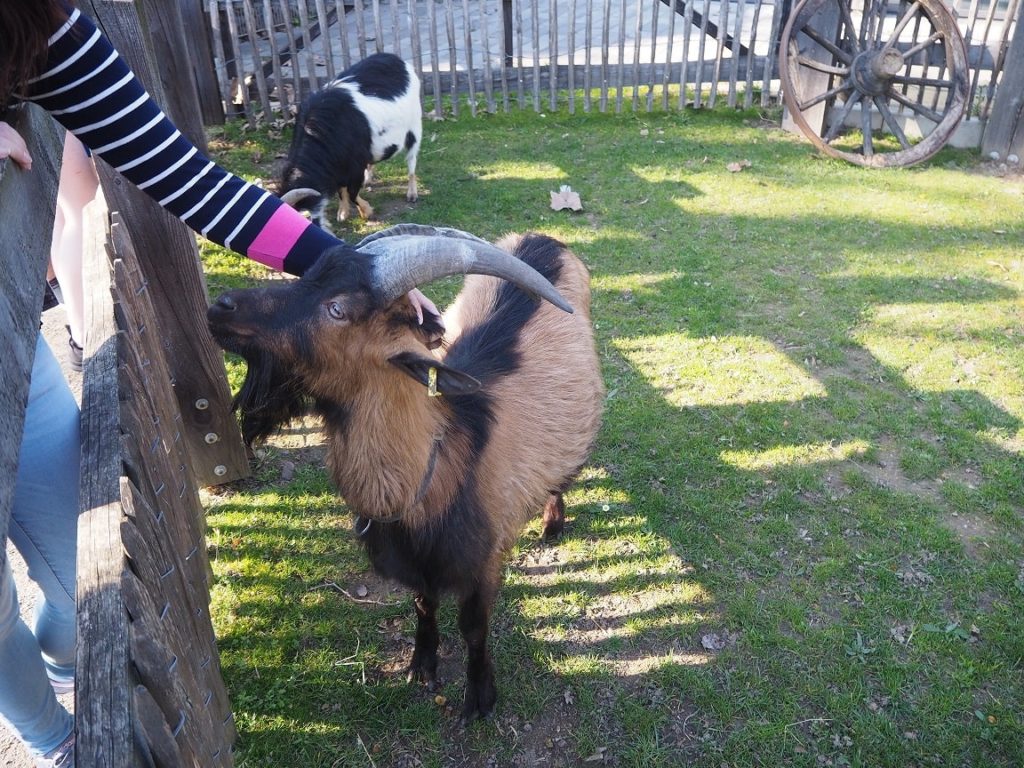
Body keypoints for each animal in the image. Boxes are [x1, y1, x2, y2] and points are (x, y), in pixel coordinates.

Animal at [209, 225, 606, 724]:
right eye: (308, 275)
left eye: (337, 308)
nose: (219, 305)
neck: (434, 469)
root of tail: (543, 237)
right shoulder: (416, 562)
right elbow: (423, 605)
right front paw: (421, 665)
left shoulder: (482, 561)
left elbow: (474, 629)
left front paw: (479, 699)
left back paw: (552, 524)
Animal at [276, 52, 419, 227]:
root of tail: (394, 58)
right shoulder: (338, 166)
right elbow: (341, 190)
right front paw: (343, 213)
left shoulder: (354, 167)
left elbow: (351, 192)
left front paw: (366, 212)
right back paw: (368, 179)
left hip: (415, 125)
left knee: (412, 160)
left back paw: (412, 194)